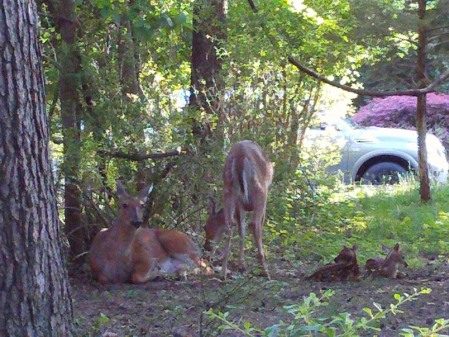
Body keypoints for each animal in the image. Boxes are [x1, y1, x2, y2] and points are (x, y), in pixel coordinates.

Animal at [204, 139, 272, 278]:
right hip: (260, 191)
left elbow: (241, 230)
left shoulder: (239, 205)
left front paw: (241, 265)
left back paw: (223, 272)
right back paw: (265, 271)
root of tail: (240, 156)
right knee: (254, 224)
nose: (206, 246)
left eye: (205, 226)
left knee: (231, 223)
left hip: (228, 188)